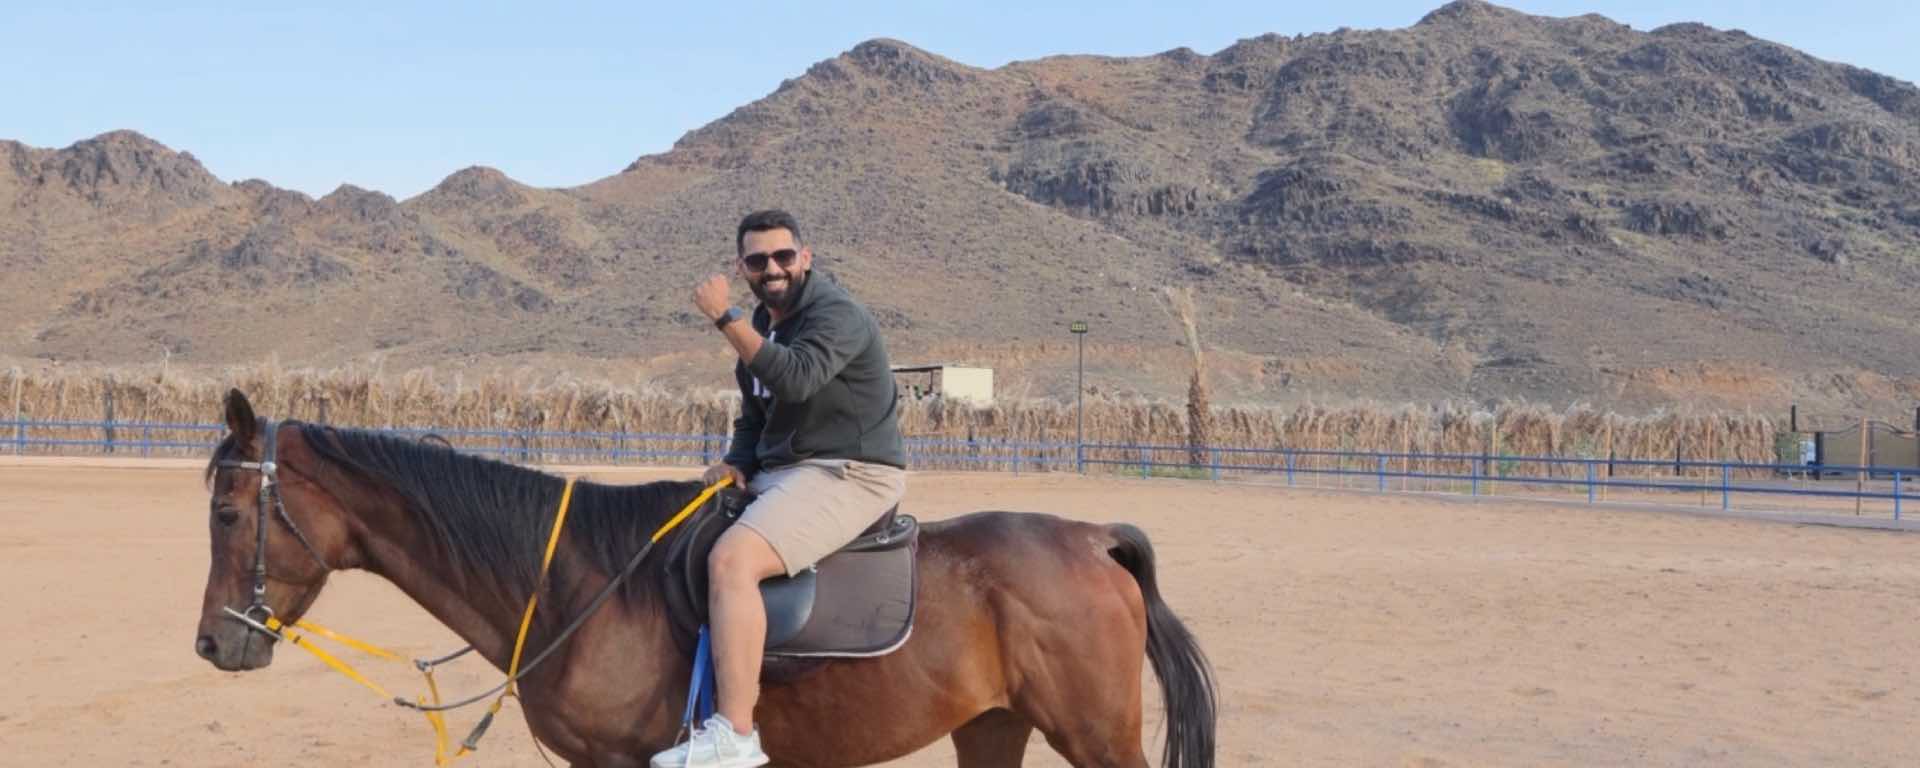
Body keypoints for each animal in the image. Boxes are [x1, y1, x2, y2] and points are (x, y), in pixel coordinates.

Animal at [194, 393, 1213, 764]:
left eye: (227, 515)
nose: (211, 643)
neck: (573, 584)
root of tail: (1093, 538)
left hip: (1095, 735)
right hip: (993, 726)